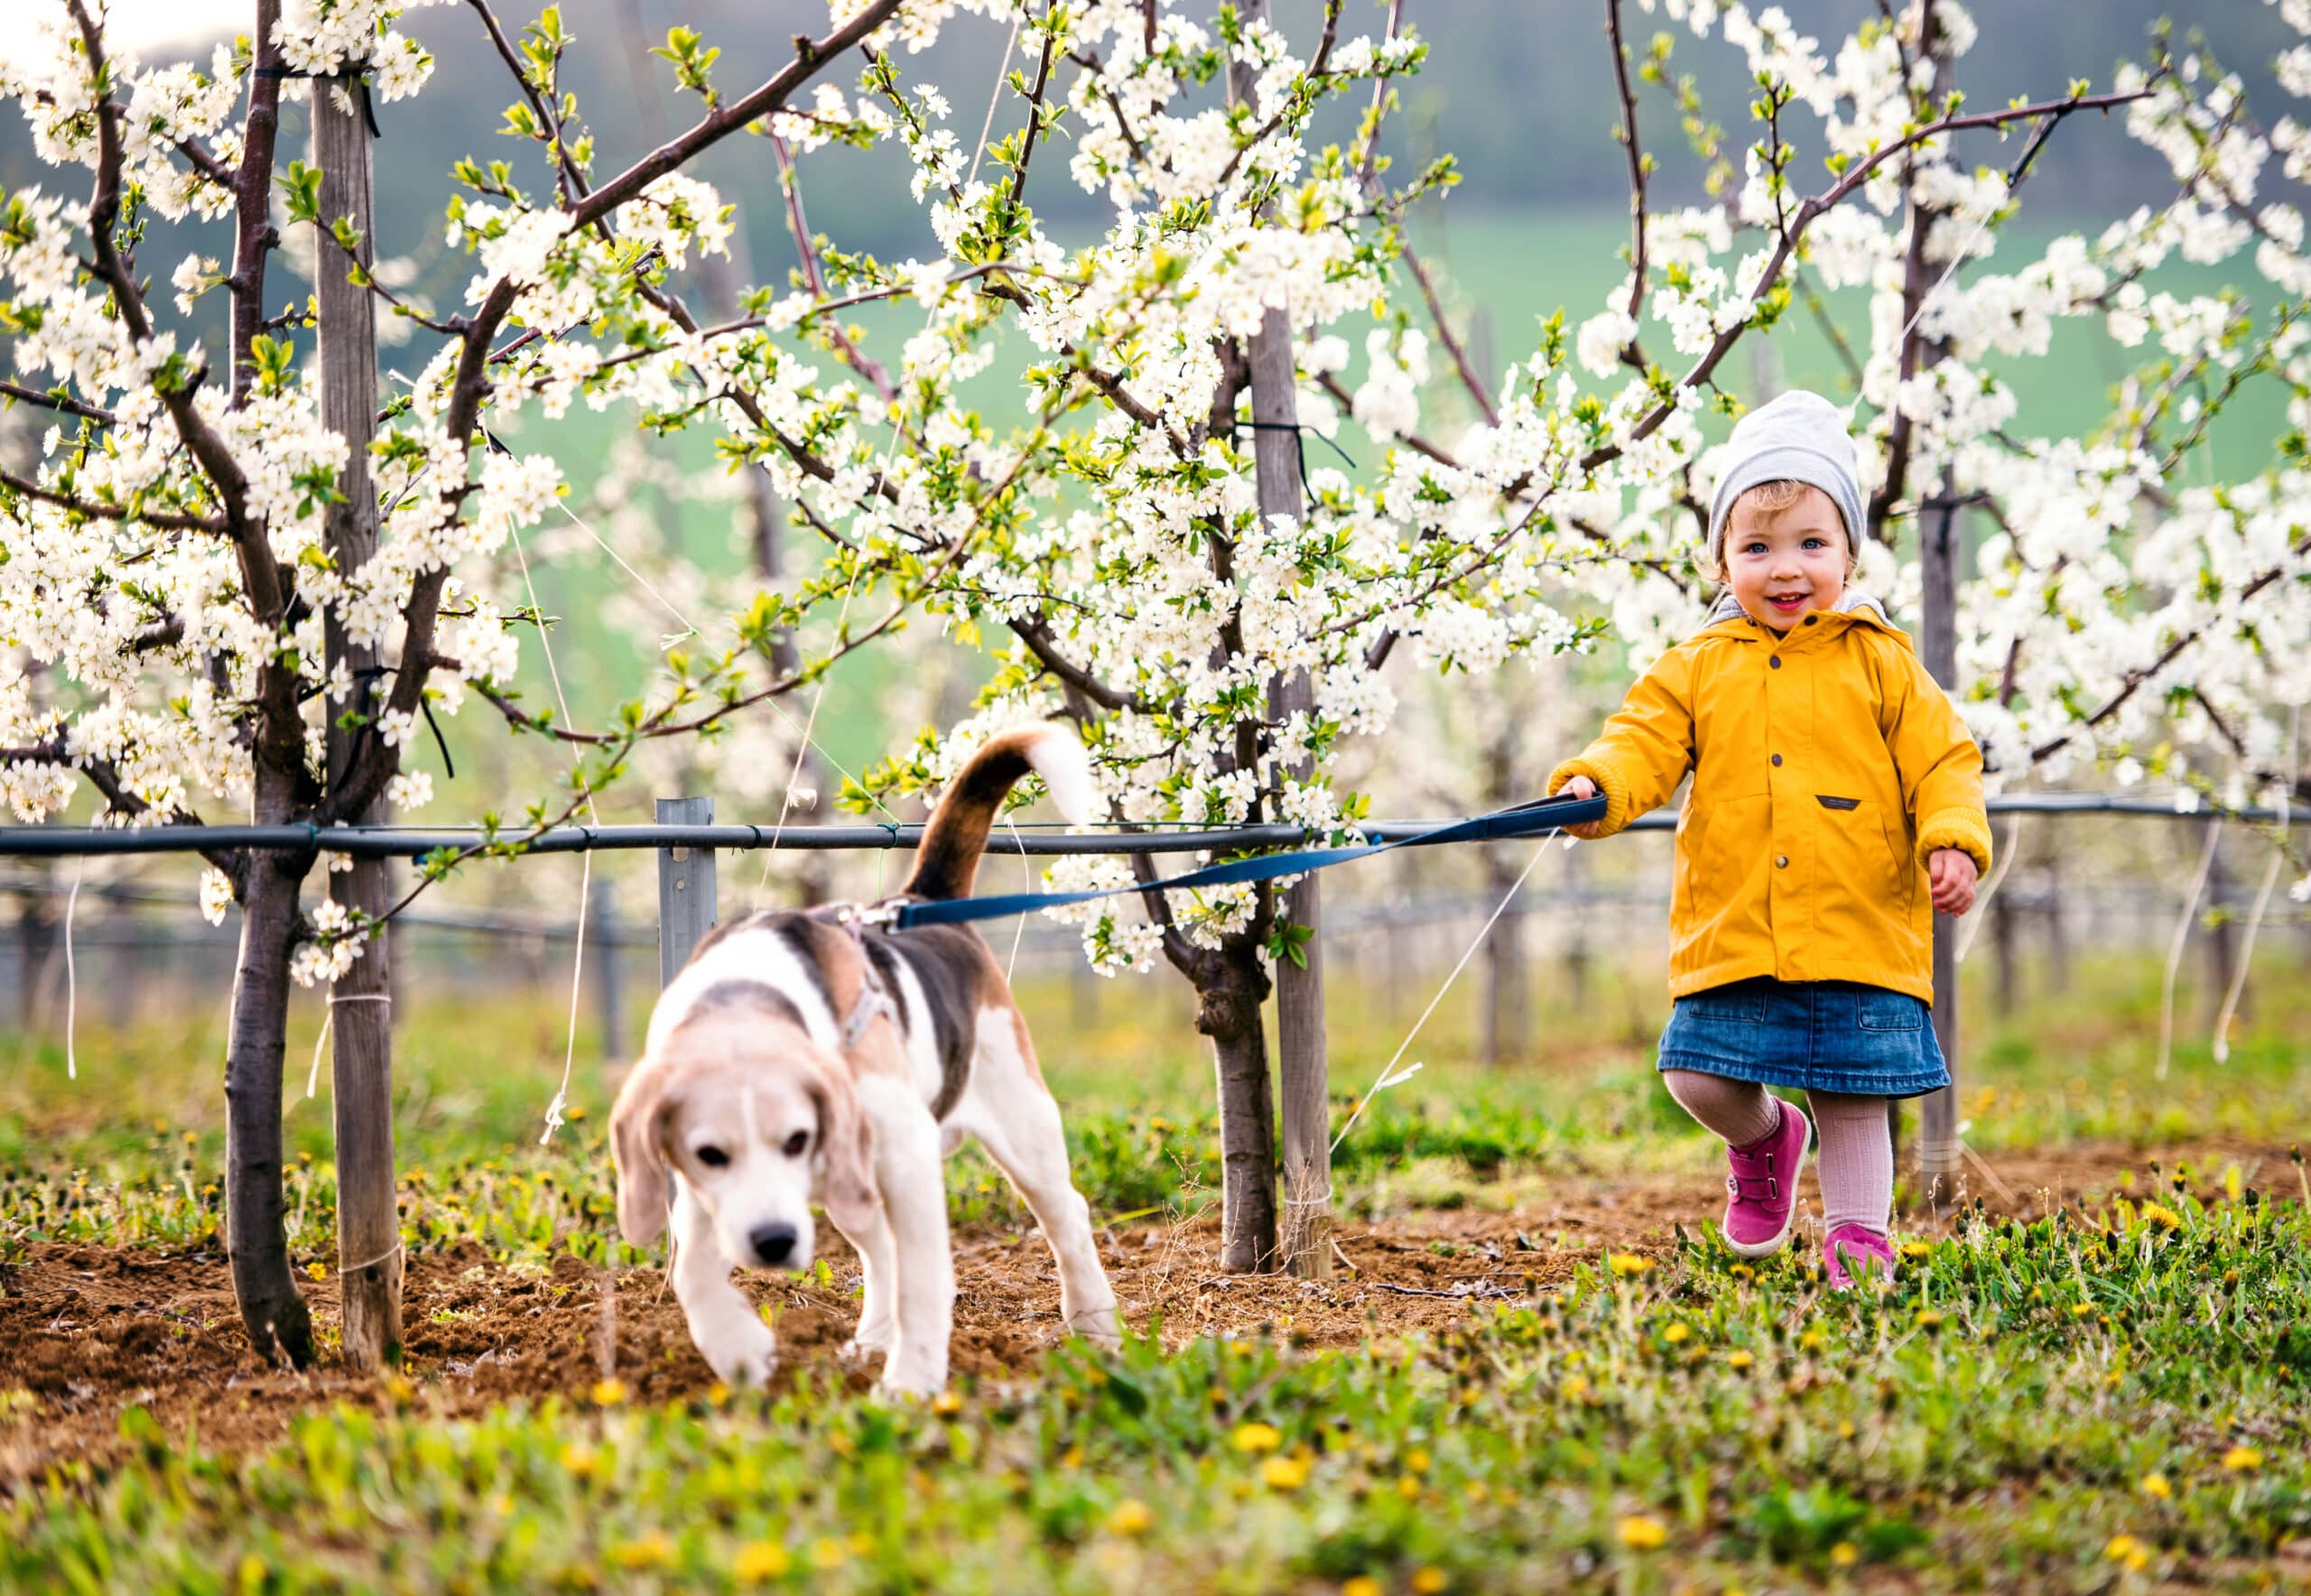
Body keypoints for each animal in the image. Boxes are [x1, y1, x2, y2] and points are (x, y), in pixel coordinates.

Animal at [609, 725, 1123, 1395]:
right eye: (711, 1154)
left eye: (796, 1140)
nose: (773, 1242)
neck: (746, 997)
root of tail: (921, 900)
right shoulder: (702, 1186)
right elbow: (693, 1268)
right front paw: (739, 1349)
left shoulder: (907, 1159)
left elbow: (925, 1283)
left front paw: (910, 1386)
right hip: (852, 1188)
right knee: (881, 1251)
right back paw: (874, 1341)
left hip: (1024, 1131)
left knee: (1066, 1219)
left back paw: (1095, 1326)